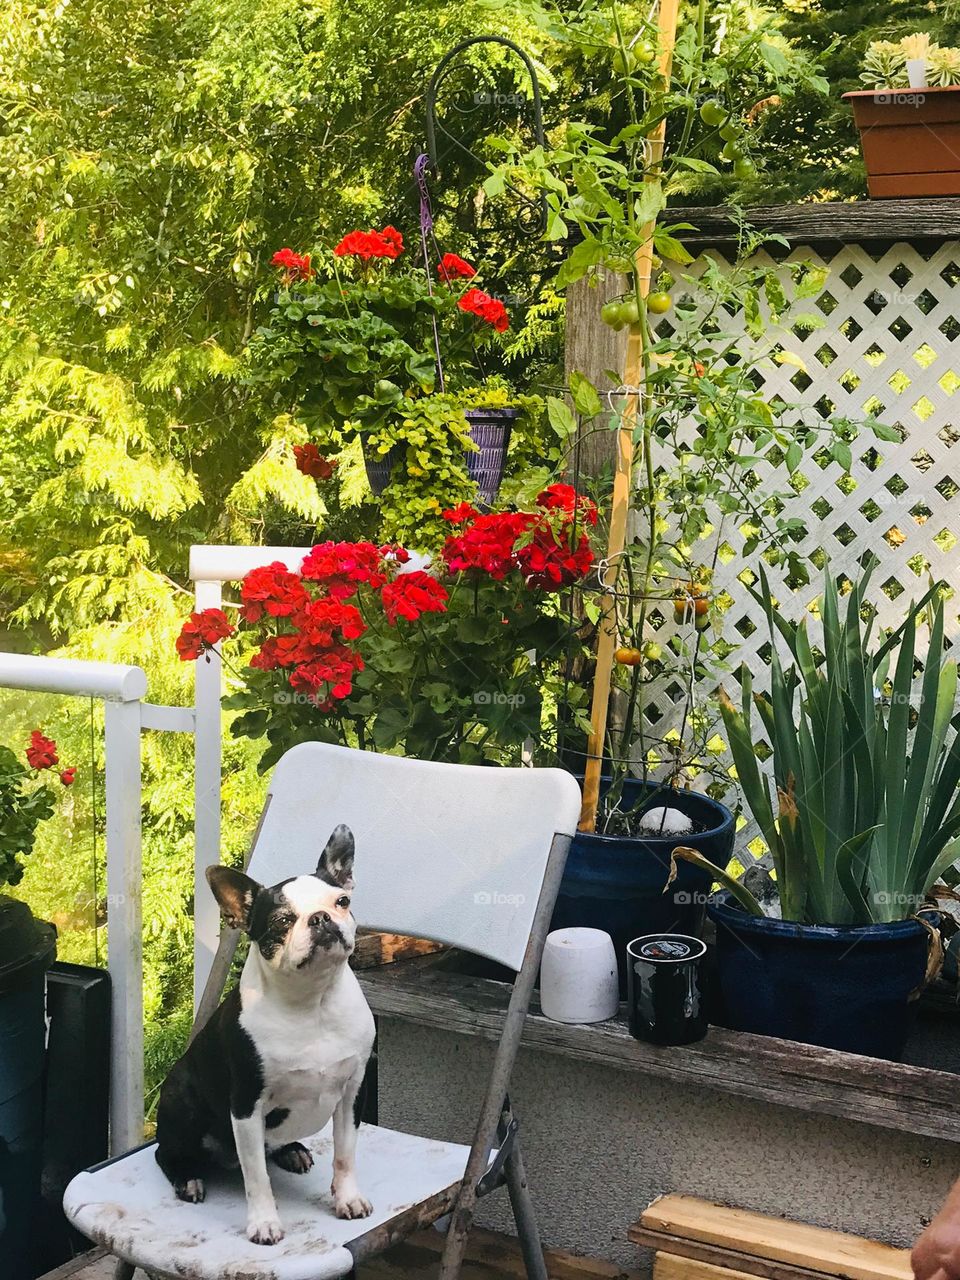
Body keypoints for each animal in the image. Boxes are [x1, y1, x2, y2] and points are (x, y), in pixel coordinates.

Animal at [154, 824, 376, 1244]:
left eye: (341, 901)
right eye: (282, 922)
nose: (321, 918)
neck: (312, 1003)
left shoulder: (351, 1095)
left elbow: (346, 1155)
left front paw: (348, 1199)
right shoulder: (246, 1105)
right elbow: (256, 1177)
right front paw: (264, 1223)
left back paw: (291, 1150)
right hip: (183, 1103)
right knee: (166, 1153)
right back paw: (188, 1178)